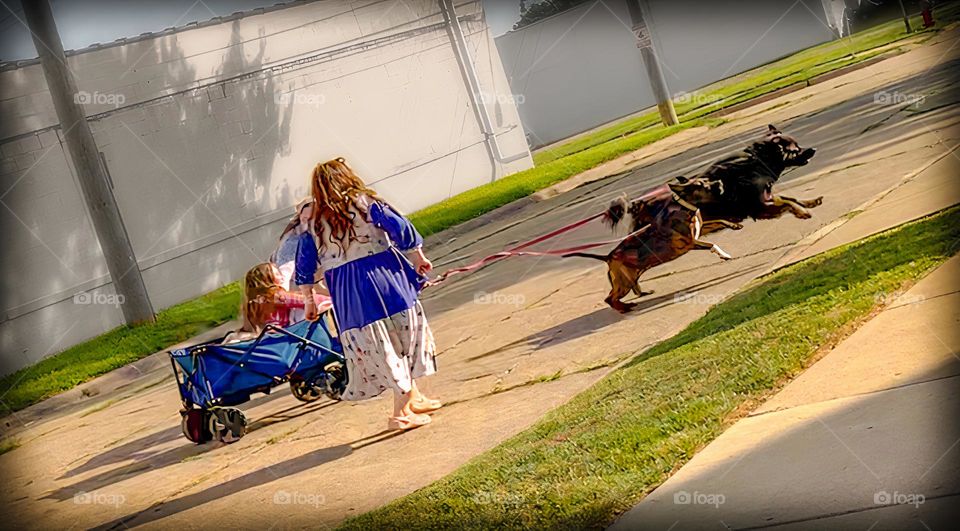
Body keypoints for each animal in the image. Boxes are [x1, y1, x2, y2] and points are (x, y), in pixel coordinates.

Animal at [568, 126, 820, 314]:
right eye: (795, 149)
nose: (813, 149)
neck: (755, 162)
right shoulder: (758, 208)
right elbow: (786, 203)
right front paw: (802, 212)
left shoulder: (761, 202)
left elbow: (790, 198)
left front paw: (810, 203)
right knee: (612, 296)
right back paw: (626, 305)